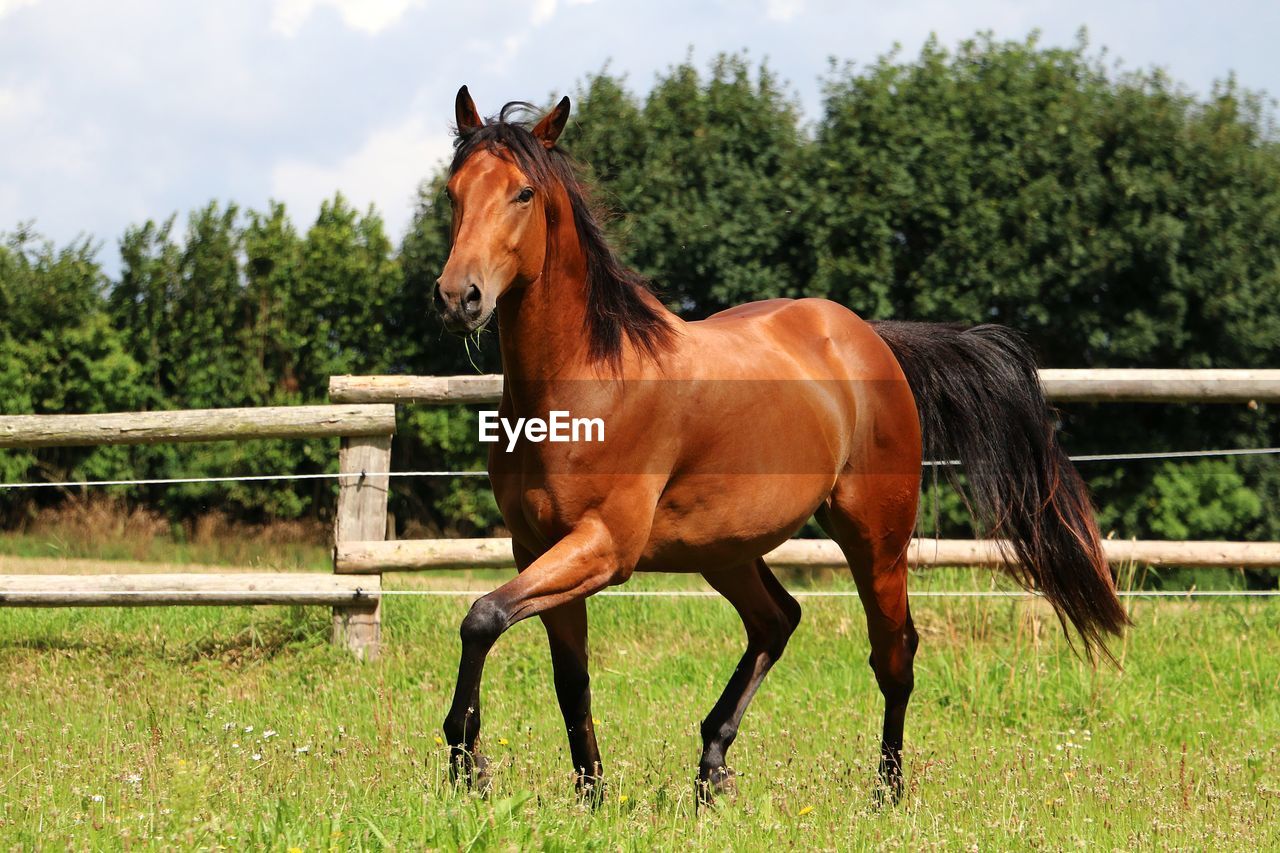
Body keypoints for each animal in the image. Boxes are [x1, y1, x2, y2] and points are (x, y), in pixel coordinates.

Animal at [432, 87, 1131, 804]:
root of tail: (870, 338)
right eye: (452, 191)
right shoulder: (537, 546)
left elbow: (482, 616)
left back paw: (887, 792)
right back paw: (713, 768)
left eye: (522, 193)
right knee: (777, 619)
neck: (587, 381)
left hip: (875, 540)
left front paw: (467, 762)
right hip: (724, 548)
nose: (459, 298)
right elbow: (567, 678)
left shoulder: (603, 547)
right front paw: (589, 796)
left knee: (894, 653)